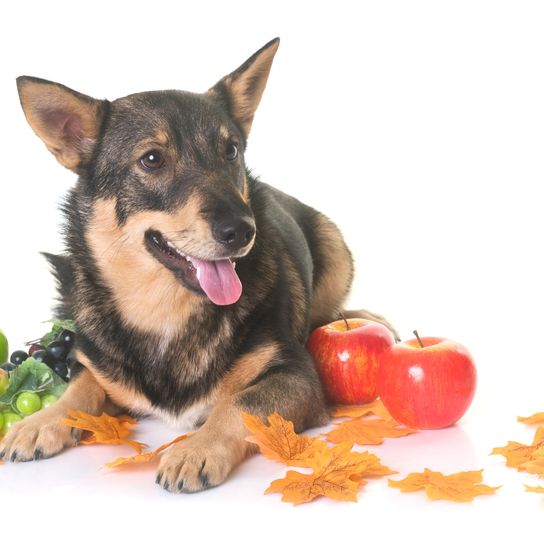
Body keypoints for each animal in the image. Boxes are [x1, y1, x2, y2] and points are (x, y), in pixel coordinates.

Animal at [0, 38, 396, 492]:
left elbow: (240, 402)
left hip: (333, 246)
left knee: (330, 310)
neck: (165, 309)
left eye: (231, 150)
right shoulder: (97, 368)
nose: (241, 230)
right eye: (152, 159)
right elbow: (80, 388)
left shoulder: (296, 374)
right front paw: (39, 421)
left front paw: (197, 449)